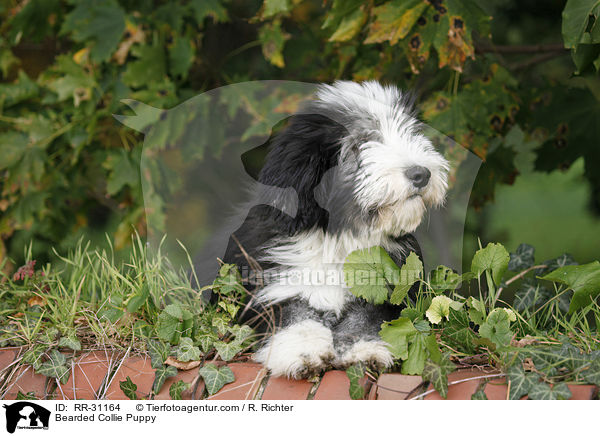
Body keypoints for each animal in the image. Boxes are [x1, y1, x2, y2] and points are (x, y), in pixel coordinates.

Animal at [226, 81, 450, 378]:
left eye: (410, 132)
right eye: (358, 144)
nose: (421, 174)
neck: (340, 237)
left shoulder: (390, 290)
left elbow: (371, 316)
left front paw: (364, 348)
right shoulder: (270, 286)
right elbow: (293, 313)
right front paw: (304, 350)